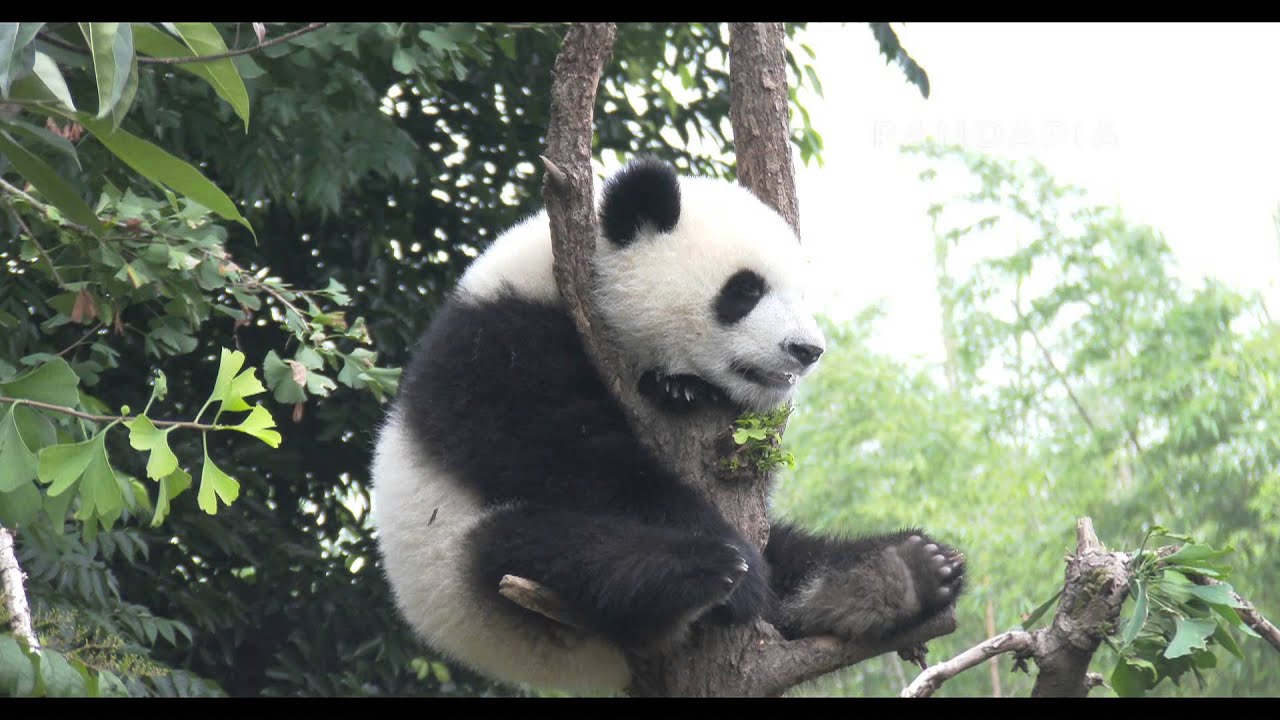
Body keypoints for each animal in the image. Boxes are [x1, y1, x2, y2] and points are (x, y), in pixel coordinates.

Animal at [370, 158, 965, 694]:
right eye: (744, 290)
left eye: (801, 294)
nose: (807, 350)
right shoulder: (497, 345)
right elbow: (565, 454)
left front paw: (678, 388)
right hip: (456, 570)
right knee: (549, 551)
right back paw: (708, 574)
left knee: (793, 557)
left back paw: (902, 572)